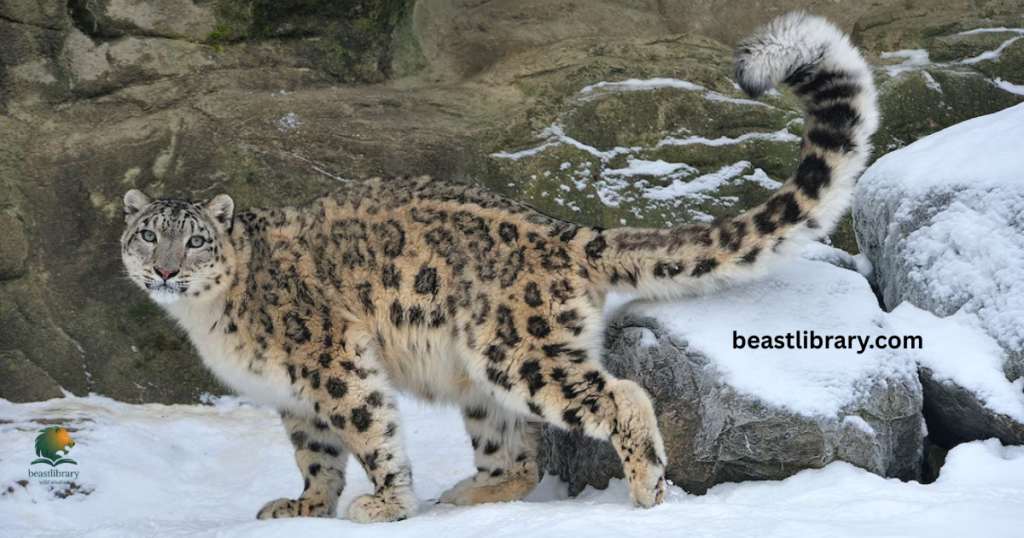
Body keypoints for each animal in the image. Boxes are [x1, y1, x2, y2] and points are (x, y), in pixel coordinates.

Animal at [120, 12, 878, 523]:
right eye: (147, 235)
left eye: (194, 241)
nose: (164, 272)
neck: (207, 319)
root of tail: (566, 233)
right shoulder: (292, 395)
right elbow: (316, 453)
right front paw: (305, 507)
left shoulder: (333, 362)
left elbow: (369, 430)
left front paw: (386, 504)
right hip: (481, 377)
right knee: (516, 452)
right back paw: (473, 492)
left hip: (521, 353)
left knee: (619, 397)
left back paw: (645, 487)